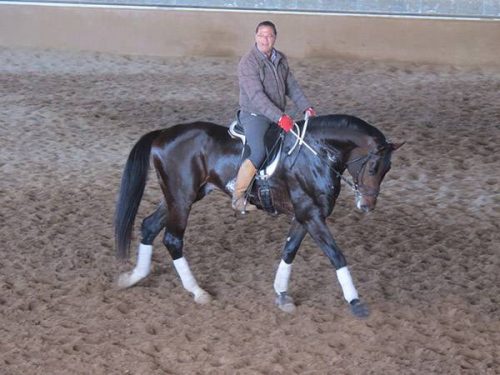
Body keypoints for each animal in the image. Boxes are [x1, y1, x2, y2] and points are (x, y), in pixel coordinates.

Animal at [115, 114, 404, 318]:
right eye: (374, 166)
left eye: (388, 169)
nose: (367, 205)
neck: (317, 154)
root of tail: (163, 134)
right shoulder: (310, 214)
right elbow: (336, 255)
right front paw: (356, 302)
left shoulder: (305, 215)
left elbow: (289, 250)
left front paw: (281, 294)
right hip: (182, 198)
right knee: (173, 239)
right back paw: (197, 291)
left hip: (180, 198)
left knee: (149, 226)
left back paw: (134, 277)